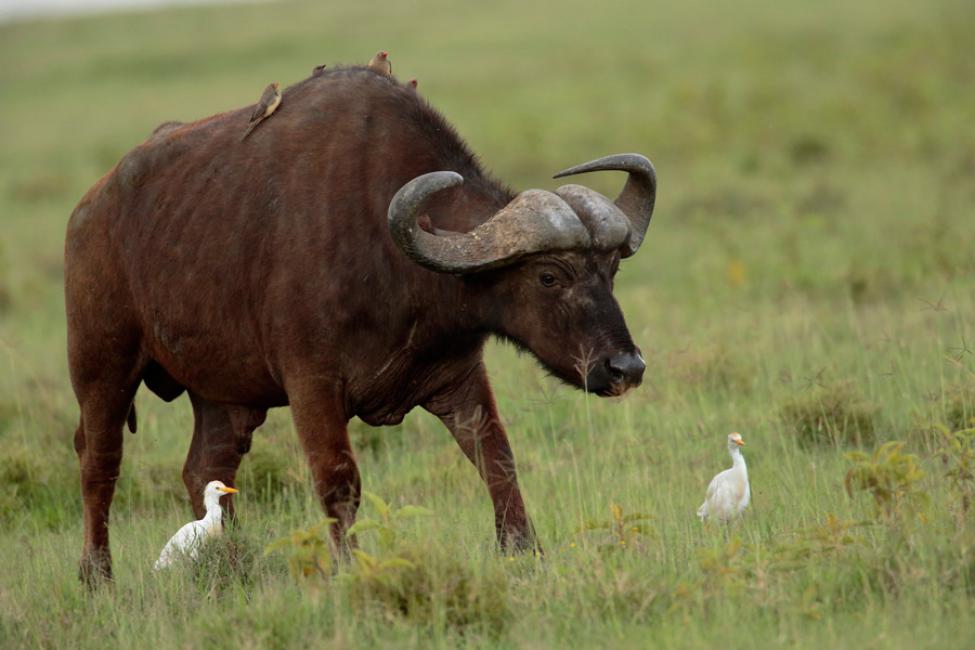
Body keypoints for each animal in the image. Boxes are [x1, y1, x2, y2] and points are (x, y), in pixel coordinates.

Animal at [66, 67, 656, 584]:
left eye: (612, 269)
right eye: (549, 276)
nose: (626, 367)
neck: (388, 250)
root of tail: (88, 210)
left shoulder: (457, 378)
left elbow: (497, 459)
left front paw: (524, 552)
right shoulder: (311, 386)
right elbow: (338, 481)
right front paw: (349, 569)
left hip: (222, 394)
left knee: (206, 467)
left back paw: (231, 565)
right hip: (102, 371)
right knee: (99, 466)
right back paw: (97, 578)